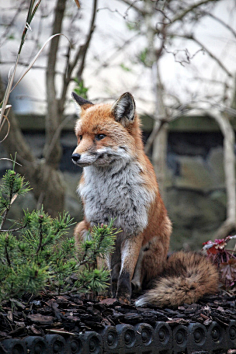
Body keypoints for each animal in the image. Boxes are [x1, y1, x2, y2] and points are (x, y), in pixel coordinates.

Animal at [71, 91, 218, 306]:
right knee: (101, 272)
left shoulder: (135, 229)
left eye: (100, 136)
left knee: (139, 278)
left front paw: (123, 298)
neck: (112, 194)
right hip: (82, 232)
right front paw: (102, 293)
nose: (74, 156)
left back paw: (134, 287)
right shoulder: (99, 227)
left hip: (155, 243)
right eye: (80, 137)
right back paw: (90, 287)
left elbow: (126, 272)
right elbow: (103, 269)